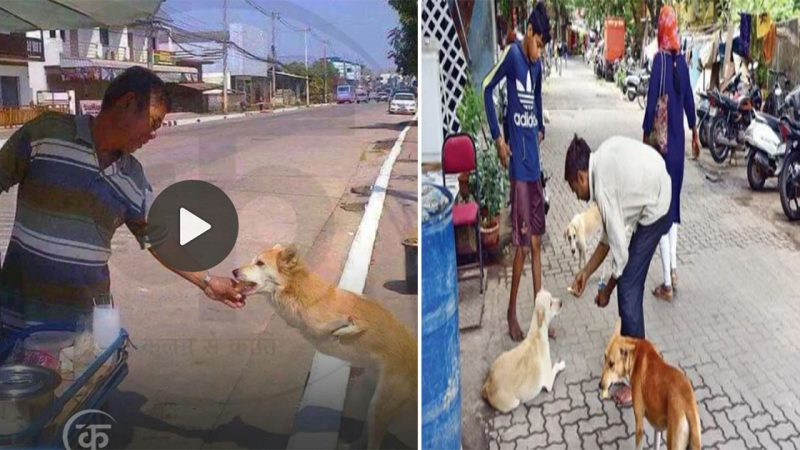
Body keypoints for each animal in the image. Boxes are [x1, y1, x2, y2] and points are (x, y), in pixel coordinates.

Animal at [233, 244, 418, 448]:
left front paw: (344, 330)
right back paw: (355, 444)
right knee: (367, 429)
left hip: (381, 406)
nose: (234, 271)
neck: (296, 292)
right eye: (253, 260)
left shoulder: (349, 319)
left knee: (375, 440)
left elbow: (355, 322)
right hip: (367, 394)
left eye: (260, 263)